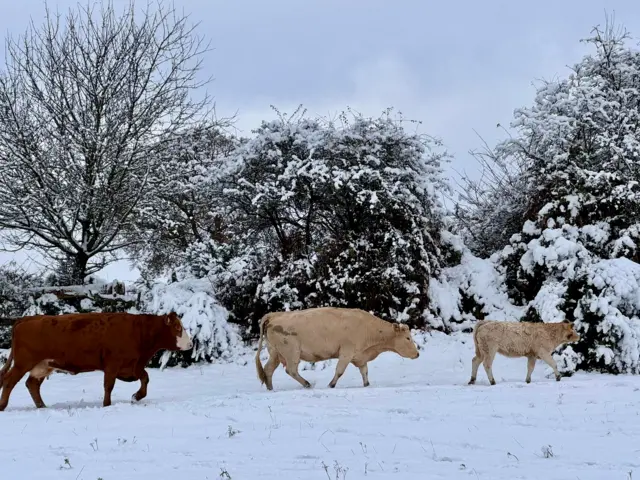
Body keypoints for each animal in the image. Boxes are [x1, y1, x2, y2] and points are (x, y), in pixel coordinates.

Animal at [0, 312, 192, 412]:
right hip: (23, 363)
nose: (190, 344)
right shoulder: (113, 365)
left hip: (43, 365)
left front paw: (136, 396)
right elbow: (109, 386)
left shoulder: (133, 366)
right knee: (9, 381)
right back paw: (3, 406)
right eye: (177, 327)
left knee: (32, 384)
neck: (138, 331)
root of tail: (28, 318)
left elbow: (145, 378)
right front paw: (107, 405)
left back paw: (42, 407)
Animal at [252, 308, 422, 390]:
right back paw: (307, 384)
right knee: (291, 370)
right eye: (408, 338)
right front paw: (331, 385)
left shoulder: (359, 356)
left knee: (268, 370)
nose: (417, 353)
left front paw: (367, 385)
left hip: (275, 354)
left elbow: (365, 372)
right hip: (292, 353)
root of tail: (274, 315)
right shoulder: (346, 352)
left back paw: (271, 388)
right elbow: (339, 371)